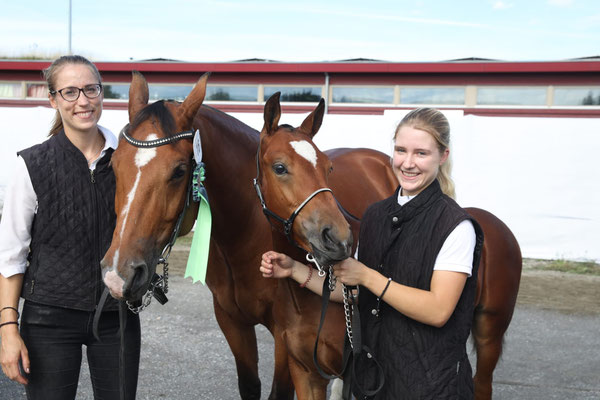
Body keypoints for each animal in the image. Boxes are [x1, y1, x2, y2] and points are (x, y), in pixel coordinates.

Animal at [98, 72, 396, 400]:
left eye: (179, 171)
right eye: (114, 165)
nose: (119, 273)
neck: (244, 237)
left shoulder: (285, 338)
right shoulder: (231, 321)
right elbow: (250, 385)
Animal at [255, 92, 524, 398]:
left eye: (328, 167)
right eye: (279, 167)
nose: (337, 239)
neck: (307, 304)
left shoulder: (355, 374)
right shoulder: (306, 373)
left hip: (490, 334)